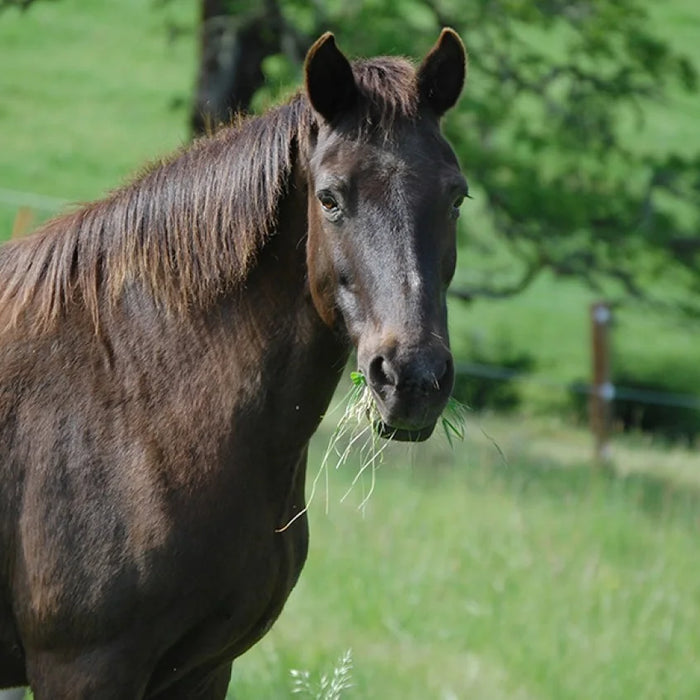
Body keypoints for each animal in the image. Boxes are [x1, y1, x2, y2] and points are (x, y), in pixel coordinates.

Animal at [1, 30, 470, 696]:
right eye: (330, 198)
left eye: (456, 197)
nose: (413, 379)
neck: (138, 403)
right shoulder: (83, 667)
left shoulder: (203, 669)